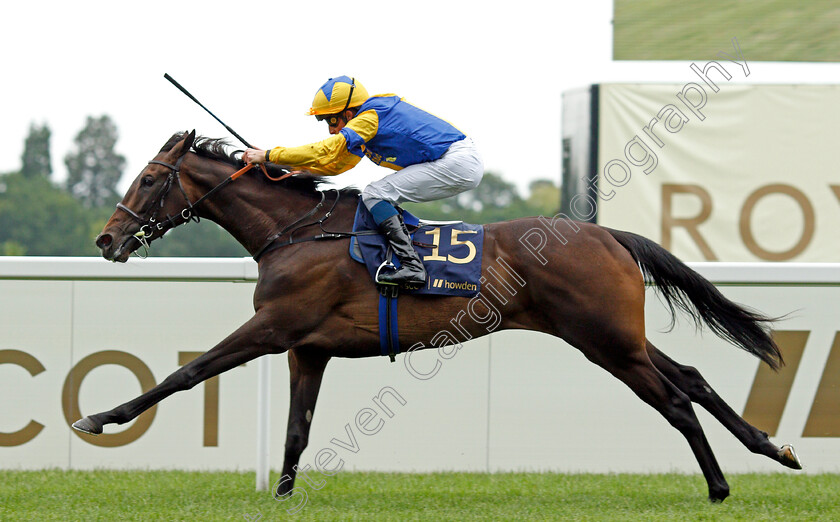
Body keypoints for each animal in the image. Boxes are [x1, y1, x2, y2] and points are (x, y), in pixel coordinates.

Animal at [75, 129, 804, 500]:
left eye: (148, 179)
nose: (107, 240)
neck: (297, 233)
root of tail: (611, 236)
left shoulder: (273, 328)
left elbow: (187, 374)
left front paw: (100, 417)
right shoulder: (308, 347)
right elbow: (296, 431)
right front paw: (281, 496)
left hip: (605, 342)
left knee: (675, 401)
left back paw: (719, 487)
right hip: (620, 336)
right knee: (693, 379)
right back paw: (771, 447)